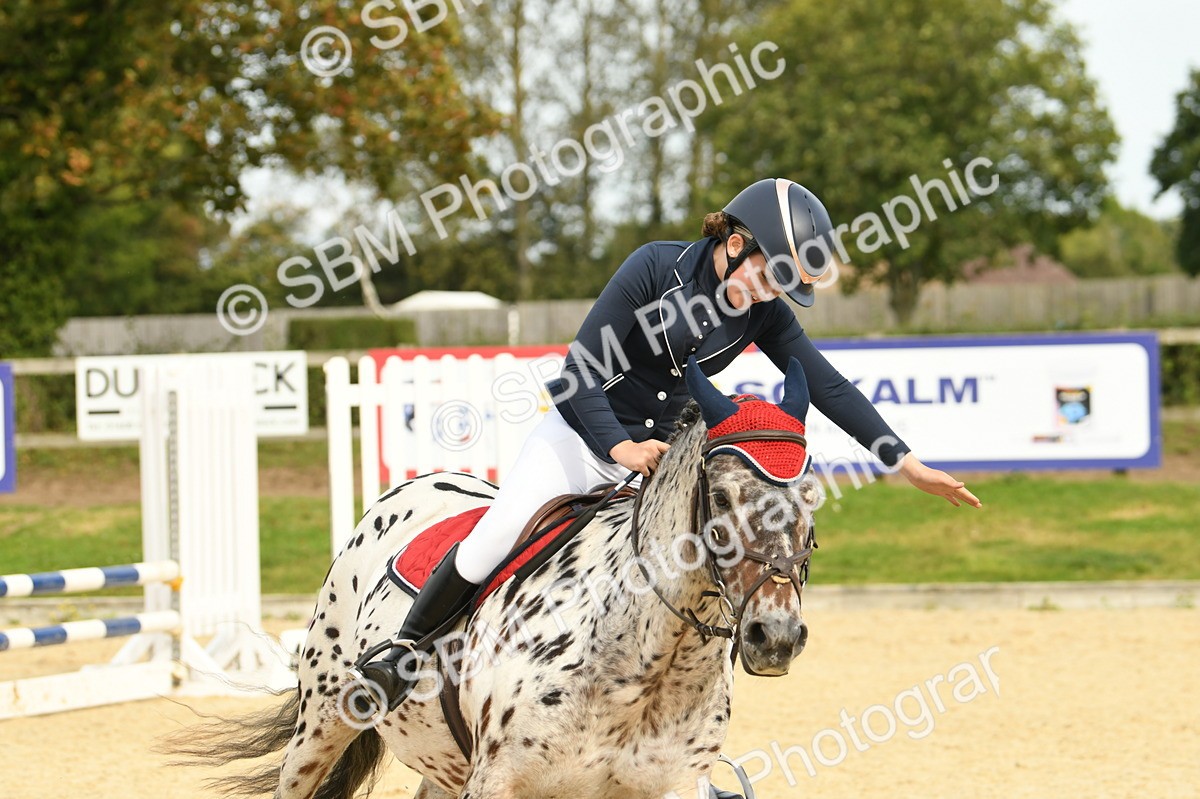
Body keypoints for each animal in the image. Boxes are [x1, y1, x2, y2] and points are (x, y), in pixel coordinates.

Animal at [172, 357, 820, 799]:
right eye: (721, 497)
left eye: (810, 502)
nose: (775, 636)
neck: (648, 660)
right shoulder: (499, 781)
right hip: (323, 722)